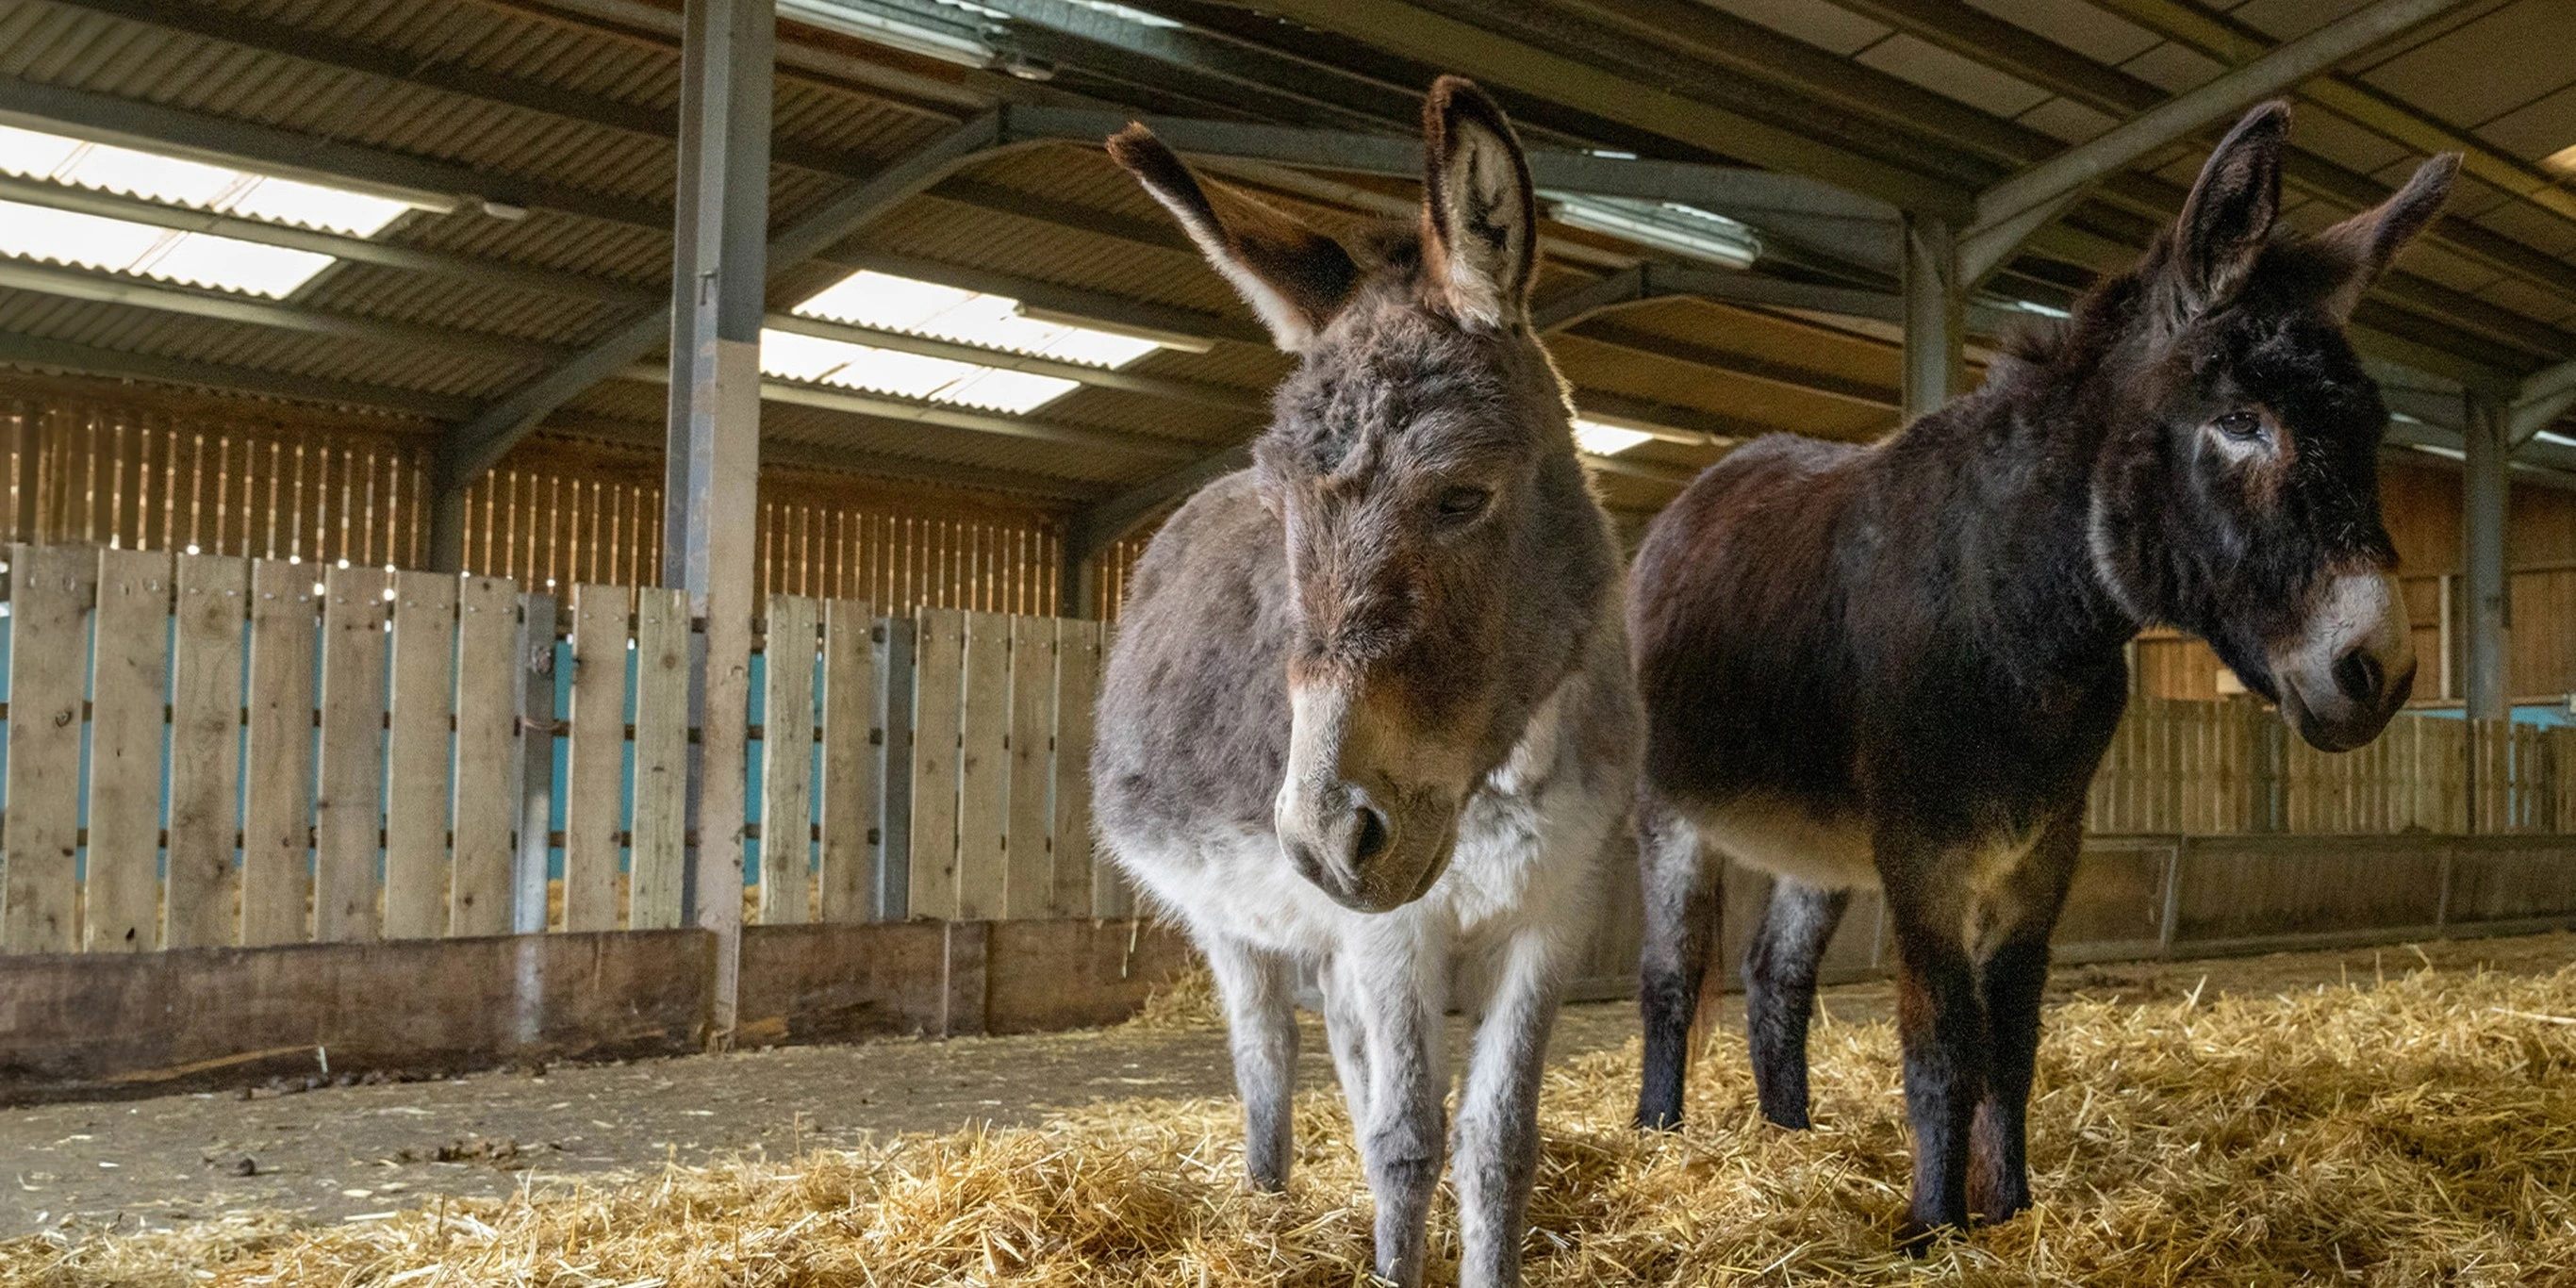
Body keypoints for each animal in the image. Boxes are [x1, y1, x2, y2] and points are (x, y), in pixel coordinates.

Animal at [1089, 78, 1640, 1288]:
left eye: (1460, 497)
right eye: (1285, 504)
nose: (1326, 834)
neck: (1498, 777)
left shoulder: (1554, 912)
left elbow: (1495, 1140)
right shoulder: (1391, 933)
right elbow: (1404, 1138)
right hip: (1234, 922)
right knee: (1267, 1052)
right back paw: (1264, 1204)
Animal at [1626, 102, 2455, 1247]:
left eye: (2371, 430)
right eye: (2240, 422)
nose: (2379, 667)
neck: (2018, 617)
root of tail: (1694, 494)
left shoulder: (2043, 847)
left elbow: (2011, 1041)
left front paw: (2010, 1210)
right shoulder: (1924, 853)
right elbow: (1942, 1040)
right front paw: (1933, 1231)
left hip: (1818, 841)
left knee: (1773, 975)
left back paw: (1789, 1138)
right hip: (1671, 810)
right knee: (1669, 979)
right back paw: (1660, 1139)